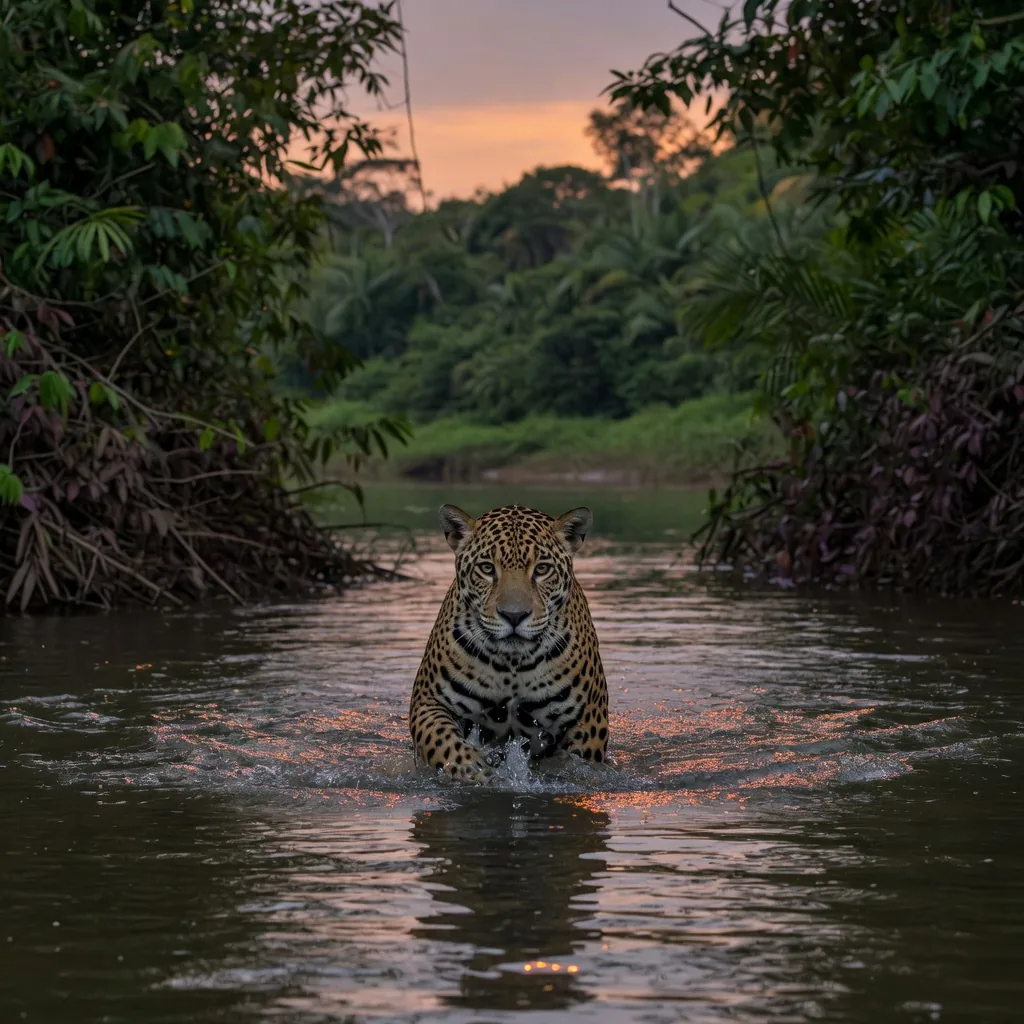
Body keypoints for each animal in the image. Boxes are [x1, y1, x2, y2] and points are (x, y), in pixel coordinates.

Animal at [409, 502, 609, 781]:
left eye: (542, 569)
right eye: (487, 568)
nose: (514, 615)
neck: (512, 665)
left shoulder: (588, 720)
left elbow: (576, 765)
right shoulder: (429, 701)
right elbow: (445, 744)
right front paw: (477, 773)